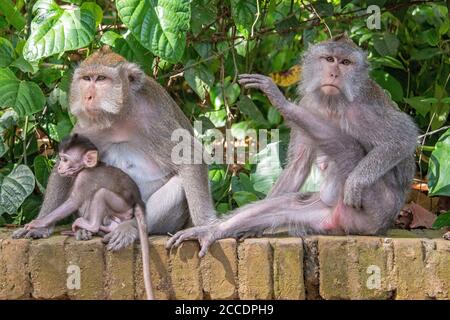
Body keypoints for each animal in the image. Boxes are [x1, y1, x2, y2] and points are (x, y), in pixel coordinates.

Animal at [13, 46, 217, 250]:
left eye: (101, 79)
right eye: (86, 79)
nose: (87, 96)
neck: (120, 115)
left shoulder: (155, 119)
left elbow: (191, 157)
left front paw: (205, 228)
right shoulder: (87, 127)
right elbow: (62, 170)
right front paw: (41, 226)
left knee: (178, 185)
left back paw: (129, 228)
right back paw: (87, 230)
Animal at [26, 134, 156, 300]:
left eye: (65, 160)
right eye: (61, 158)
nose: (60, 167)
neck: (87, 168)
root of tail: (137, 199)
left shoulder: (84, 178)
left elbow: (74, 202)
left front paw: (37, 223)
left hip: (121, 205)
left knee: (100, 193)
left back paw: (91, 226)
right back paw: (101, 229)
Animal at [169, 33, 418, 256]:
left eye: (346, 63)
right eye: (330, 59)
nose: (334, 73)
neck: (331, 104)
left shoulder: (362, 110)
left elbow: (403, 139)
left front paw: (356, 183)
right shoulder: (309, 103)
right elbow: (298, 166)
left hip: (378, 208)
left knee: (350, 150)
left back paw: (286, 107)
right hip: (329, 215)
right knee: (289, 204)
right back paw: (212, 231)